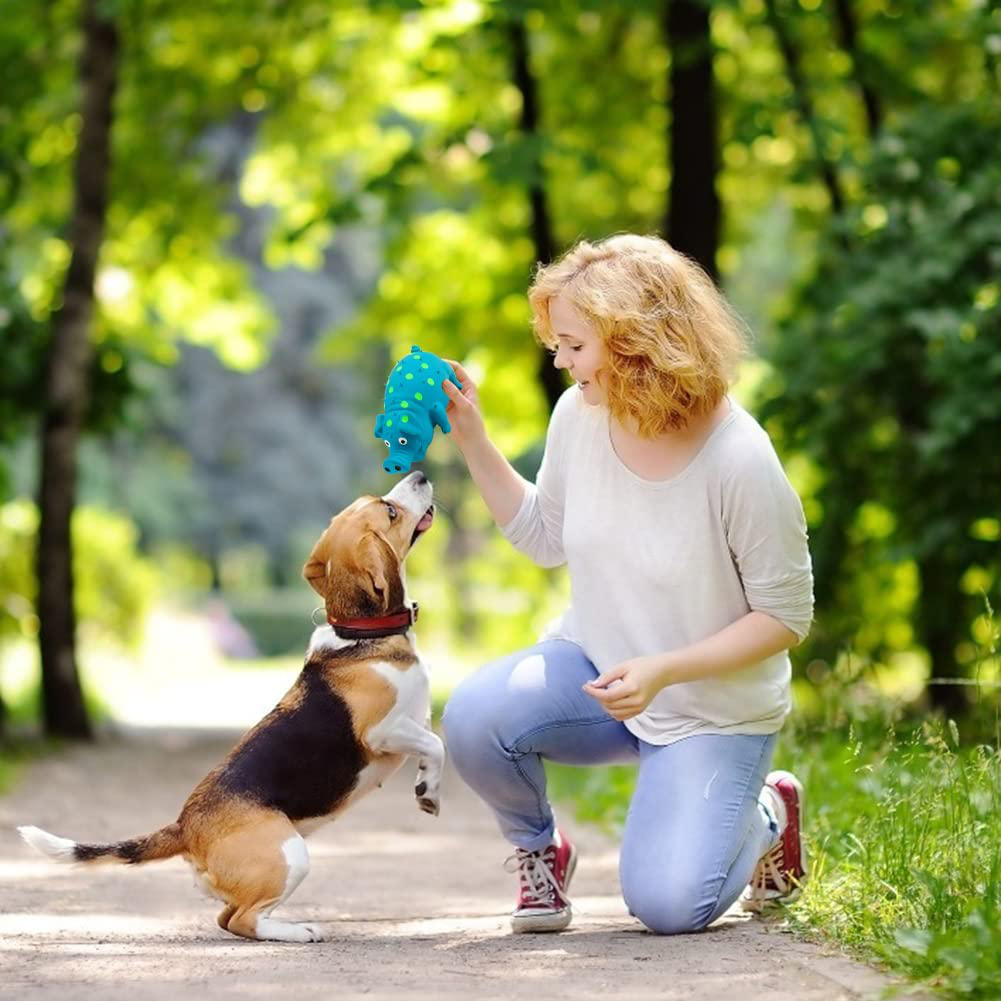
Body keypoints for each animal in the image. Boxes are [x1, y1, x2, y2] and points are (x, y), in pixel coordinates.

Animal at [16, 468, 442, 936]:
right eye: (390, 511)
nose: (420, 473)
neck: (361, 633)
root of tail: (184, 826)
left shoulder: (415, 722)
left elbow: (432, 745)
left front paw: (426, 787)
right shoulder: (382, 731)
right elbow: (437, 743)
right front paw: (430, 791)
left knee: (227, 918)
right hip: (290, 855)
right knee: (244, 921)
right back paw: (299, 931)